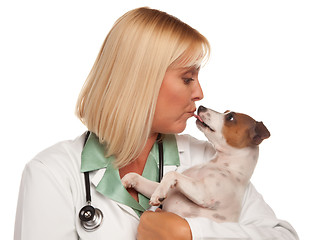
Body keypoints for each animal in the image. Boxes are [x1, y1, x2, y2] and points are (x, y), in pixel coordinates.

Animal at [120, 106, 270, 222]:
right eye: (225, 112)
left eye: (231, 117)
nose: (201, 107)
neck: (221, 163)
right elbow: (138, 177)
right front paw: (124, 181)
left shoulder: (204, 193)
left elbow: (171, 174)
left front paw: (159, 193)